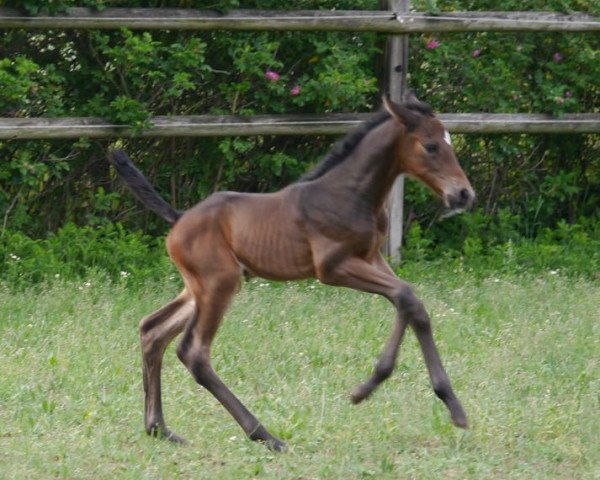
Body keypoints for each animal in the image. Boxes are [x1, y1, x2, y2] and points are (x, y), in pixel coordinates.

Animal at [108, 95, 474, 452]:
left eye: (449, 142)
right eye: (430, 146)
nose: (463, 194)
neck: (350, 193)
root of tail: (179, 218)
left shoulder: (372, 259)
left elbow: (410, 302)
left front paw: (452, 405)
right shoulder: (332, 267)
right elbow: (404, 295)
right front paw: (365, 389)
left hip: (201, 287)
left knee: (153, 330)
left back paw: (160, 429)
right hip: (219, 284)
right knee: (193, 352)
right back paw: (265, 436)